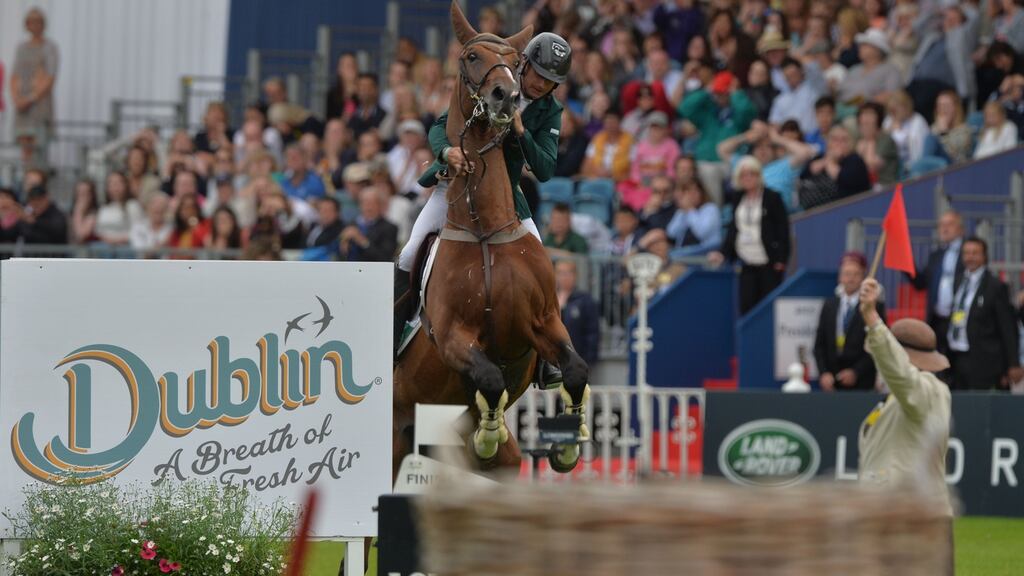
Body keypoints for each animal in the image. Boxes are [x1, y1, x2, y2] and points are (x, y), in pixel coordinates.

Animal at [392, 1, 591, 478]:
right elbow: (489, 378)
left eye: (512, 59)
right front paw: (488, 430)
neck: (484, 230)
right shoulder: (452, 337)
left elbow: (576, 369)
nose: (507, 97)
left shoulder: (543, 323)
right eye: (471, 56)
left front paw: (567, 446)